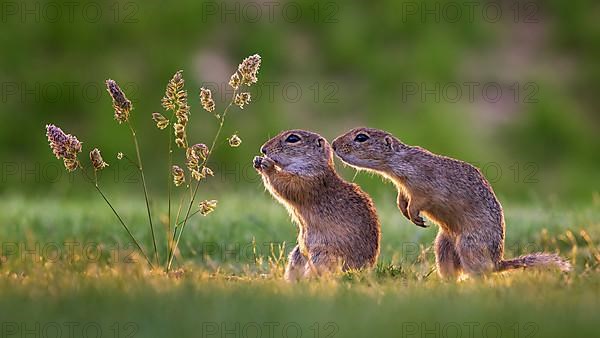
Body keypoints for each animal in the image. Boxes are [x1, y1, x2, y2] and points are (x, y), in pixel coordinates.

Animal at [253, 129, 380, 280]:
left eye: (293, 139)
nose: (263, 149)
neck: (316, 166)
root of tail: (366, 269)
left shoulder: (308, 179)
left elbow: (286, 183)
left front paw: (267, 165)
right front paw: (257, 160)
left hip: (323, 256)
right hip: (297, 255)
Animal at [332, 127, 572, 278]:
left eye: (361, 137)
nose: (334, 144)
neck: (399, 163)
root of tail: (497, 262)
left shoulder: (424, 185)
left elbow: (419, 200)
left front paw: (415, 216)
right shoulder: (403, 188)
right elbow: (402, 198)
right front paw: (403, 209)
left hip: (469, 245)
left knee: (480, 273)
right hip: (443, 245)